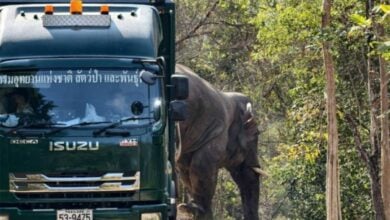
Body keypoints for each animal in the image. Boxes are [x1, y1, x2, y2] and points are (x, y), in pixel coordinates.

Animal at [176, 65, 262, 220]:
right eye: (256, 134)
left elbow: (186, 168)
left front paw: (191, 208)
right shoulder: (216, 130)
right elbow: (201, 165)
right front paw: (199, 211)